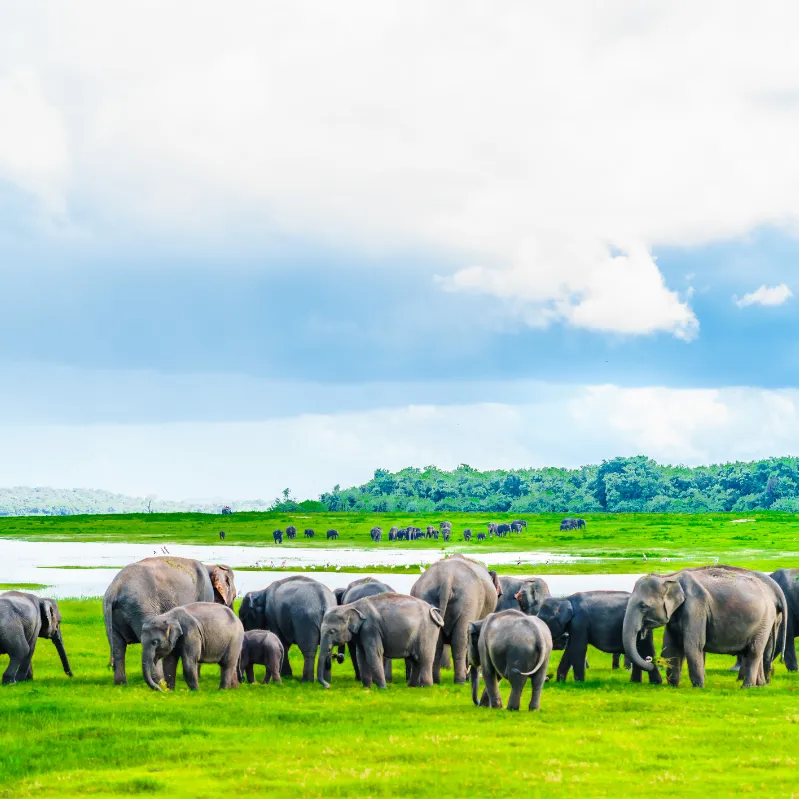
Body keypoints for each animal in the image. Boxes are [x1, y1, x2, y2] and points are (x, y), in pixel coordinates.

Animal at [102, 556, 238, 688]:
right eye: (235, 596)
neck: (209, 566)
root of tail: (114, 589)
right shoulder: (205, 592)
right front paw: (198, 677)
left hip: (115, 615)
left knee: (118, 648)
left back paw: (121, 685)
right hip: (140, 608)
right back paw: (160, 683)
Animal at [412, 552, 500, 684]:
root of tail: (446, 578)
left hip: (427, 595)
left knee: (437, 642)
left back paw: (437, 680)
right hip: (469, 601)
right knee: (460, 639)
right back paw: (461, 680)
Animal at [624, 564, 788, 692]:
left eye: (643, 606)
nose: (650, 661)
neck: (670, 577)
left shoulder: (696, 607)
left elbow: (692, 646)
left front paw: (699, 688)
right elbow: (671, 647)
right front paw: (672, 687)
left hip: (764, 621)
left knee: (754, 651)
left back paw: (746, 688)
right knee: (755, 652)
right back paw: (759, 686)